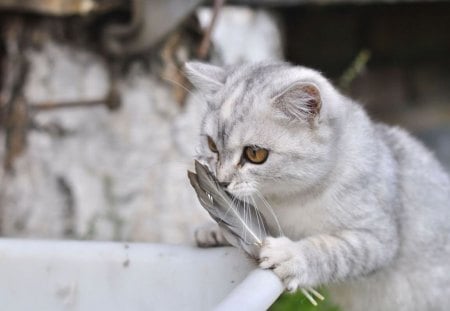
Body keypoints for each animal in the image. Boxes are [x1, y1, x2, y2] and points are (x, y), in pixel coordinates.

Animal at [184, 61, 450, 311]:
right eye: (212, 145)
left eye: (255, 154)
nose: (221, 181)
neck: (288, 199)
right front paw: (214, 228)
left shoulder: (378, 237)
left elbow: (332, 250)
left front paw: (292, 256)